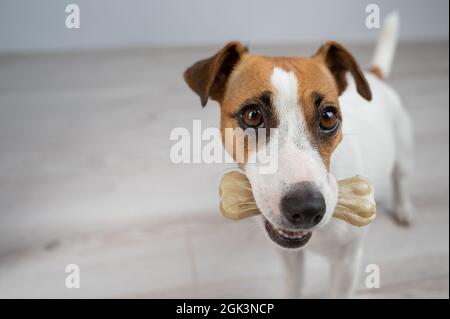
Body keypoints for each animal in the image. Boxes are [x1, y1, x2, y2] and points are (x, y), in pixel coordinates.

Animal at [182, 11, 412, 298]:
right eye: (252, 115)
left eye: (328, 117)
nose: (307, 208)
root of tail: (375, 75)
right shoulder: (288, 257)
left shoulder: (347, 262)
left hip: (403, 152)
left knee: (400, 179)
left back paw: (403, 208)